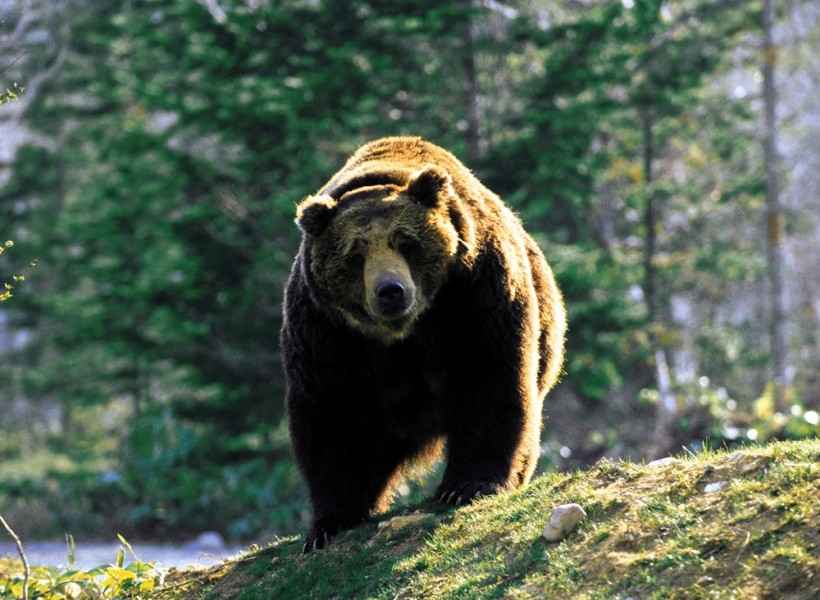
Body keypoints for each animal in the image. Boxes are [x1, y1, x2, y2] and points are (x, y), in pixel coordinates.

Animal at [282, 137, 564, 552]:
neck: (404, 330)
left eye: (405, 242)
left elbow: (487, 378)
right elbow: (334, 415)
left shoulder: (475, 295)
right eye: (356, 254)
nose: (390, 291)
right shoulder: (328, 333)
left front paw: (467, 485)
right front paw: (331, 522)